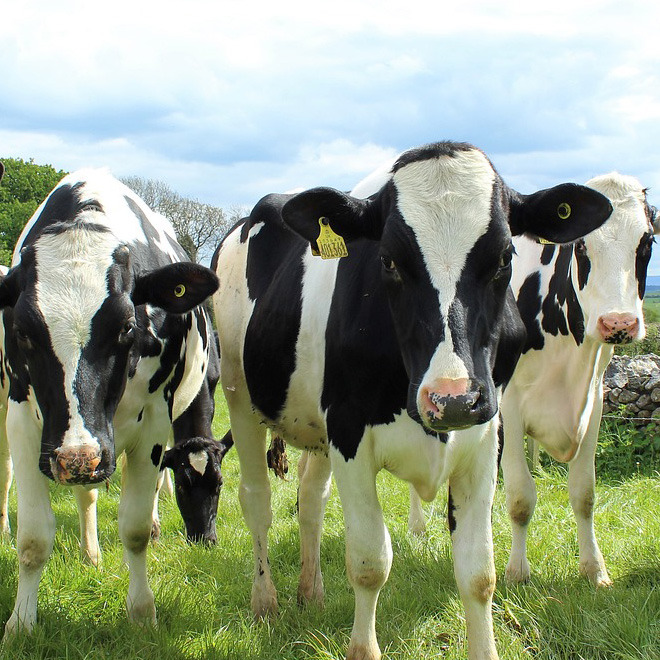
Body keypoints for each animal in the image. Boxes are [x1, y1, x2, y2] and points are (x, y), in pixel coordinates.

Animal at [0, 169, 219, 636]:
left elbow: (134, 527)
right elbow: (33, 537)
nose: (206, 540)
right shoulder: (26, 421)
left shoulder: (154, 421)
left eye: (126, 326)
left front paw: (141, 612)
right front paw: (21, 624)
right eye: (23, 331)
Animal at [213, 141, 612, 660]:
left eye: (505, 256)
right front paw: (363, 648)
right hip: (239, 396)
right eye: (387, 260)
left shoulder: (486, 436)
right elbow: (369, 561)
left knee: (310, 500)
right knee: (257, 499)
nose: (453, 399)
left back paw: (311, 591)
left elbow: (478, 572)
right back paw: (266, 601)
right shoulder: (349, 434)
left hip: (315, 428)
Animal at [498, 173, 656, 584]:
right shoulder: (510, 404)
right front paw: (517, 572)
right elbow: (520, 496)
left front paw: (594, 569)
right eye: (581, 245)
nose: (619, 323)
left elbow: (584, 492)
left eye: (647, 242)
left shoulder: (595, 401)